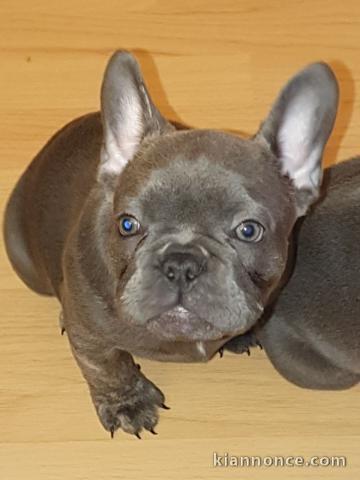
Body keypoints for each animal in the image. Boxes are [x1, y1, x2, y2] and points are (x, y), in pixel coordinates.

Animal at [4, 50, 338, 436]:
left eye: (249, 231)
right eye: (127, 225)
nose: (181, 263)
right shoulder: (88, 334)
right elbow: (105, 365)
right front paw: (127, 403)